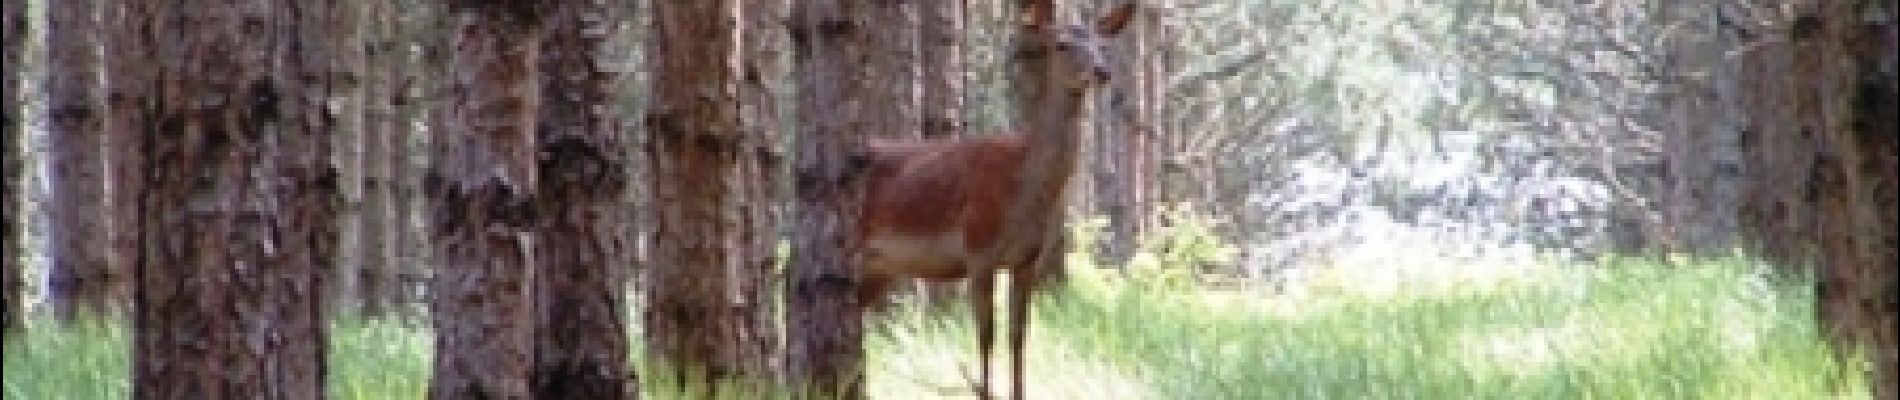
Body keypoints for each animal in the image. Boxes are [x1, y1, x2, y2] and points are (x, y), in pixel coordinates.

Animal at [855, 1, 1132, 398]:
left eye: (1102, 44)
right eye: (1061, 44)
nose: (1102, 72)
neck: (1021, 189)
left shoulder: (1028, 260)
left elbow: (1019, 337)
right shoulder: (978, 251)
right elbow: (985, 336)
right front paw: (984, 388)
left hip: (881, 268)